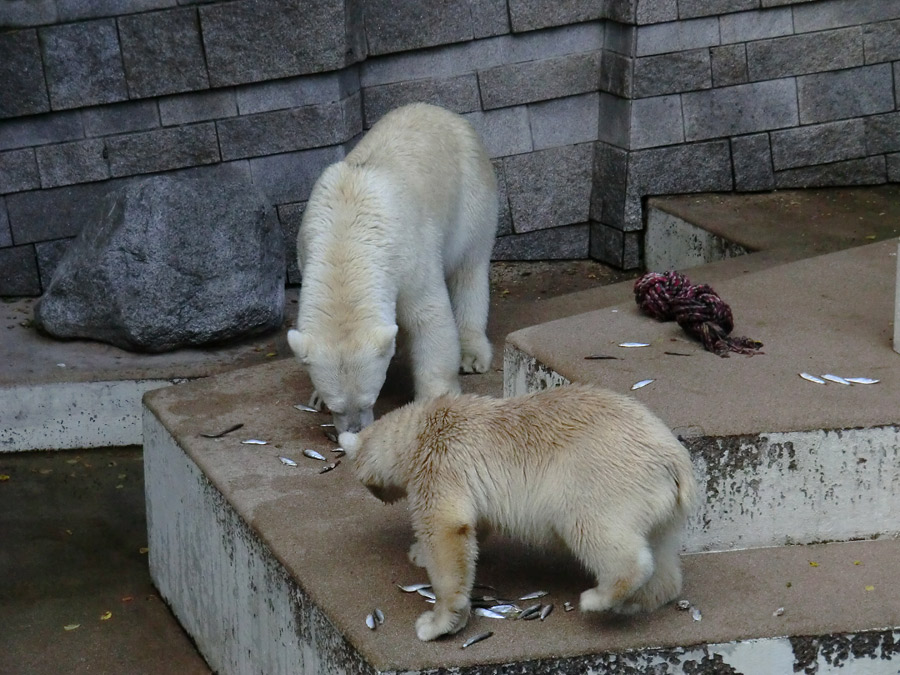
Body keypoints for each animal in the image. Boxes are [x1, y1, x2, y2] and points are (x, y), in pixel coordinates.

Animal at [288, 105, 500, 434]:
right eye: (336, 406)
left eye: (369, 399)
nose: (355, 431)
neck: (345, 239)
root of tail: (444, 112)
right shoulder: (306, 248)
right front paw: (315, 398)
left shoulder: (407, 253)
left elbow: (428, 315)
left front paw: (436, 396)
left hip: (471, 195)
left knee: (469, 266)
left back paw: (472, 352)